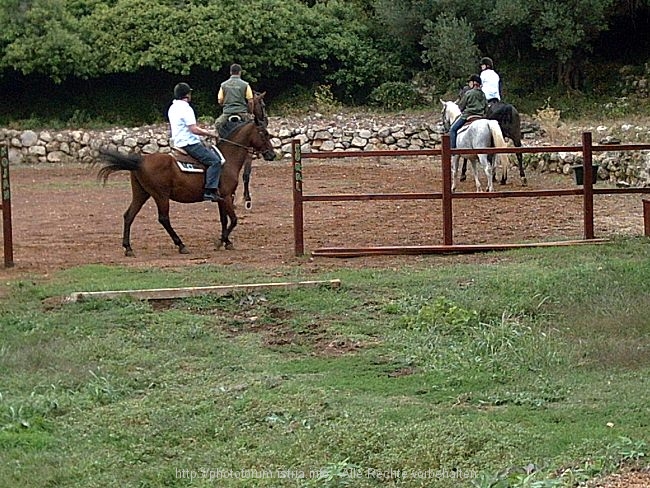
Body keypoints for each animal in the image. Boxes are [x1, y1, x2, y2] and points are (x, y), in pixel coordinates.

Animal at [97, 121, 274, 255]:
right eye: (263, 134)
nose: (272, 155)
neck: (226, 160)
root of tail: (140, 161)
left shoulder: (221, 198)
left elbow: (224, 219)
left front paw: (227, 242)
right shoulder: (226, 195)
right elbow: (234, 220)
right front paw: (220, 241)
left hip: (141, 194)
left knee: (129, 215)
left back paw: (128, 248)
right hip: (160, 196)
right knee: (163, 219)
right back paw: (181, 245)